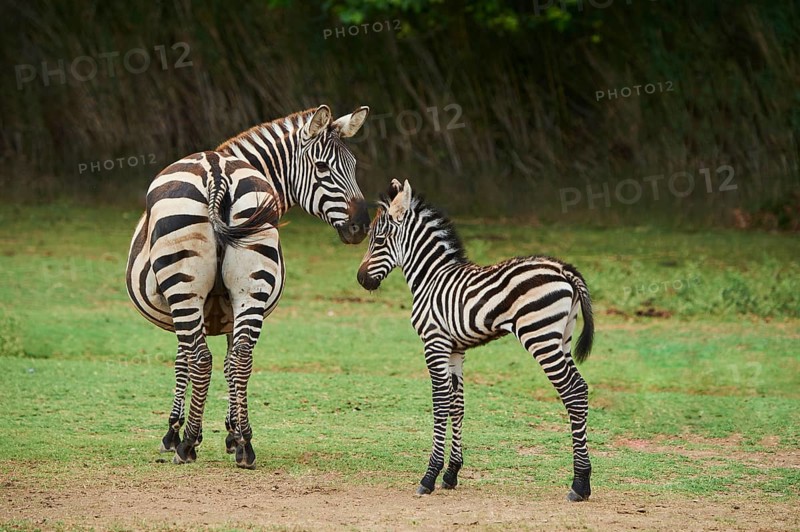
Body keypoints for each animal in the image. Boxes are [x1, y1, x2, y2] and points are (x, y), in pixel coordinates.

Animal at [126, 105, 370, 468]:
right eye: (323, 167)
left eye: (352, 166)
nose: (362, 227)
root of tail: (216, 171)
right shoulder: (225, 310)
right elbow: (228, 362)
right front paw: (232, 433)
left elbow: (184, 361)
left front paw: (175, 433)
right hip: (250, 286)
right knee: (241, 357)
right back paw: (246, 447)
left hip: (186, 288)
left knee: (202, 359)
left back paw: (188, 446)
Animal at [357, 179, 595, 501]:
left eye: (379, 240)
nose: (361, 280)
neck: (431, 279)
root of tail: (563, 269)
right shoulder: (456, 349)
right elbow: (457, 404)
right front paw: (451, 473)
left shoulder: (434, 343)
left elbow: (440, 403)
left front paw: (429, 476)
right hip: (562, 338)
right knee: (580, 389)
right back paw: (583, 481)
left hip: (540, 336)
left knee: (572, 392)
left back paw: (579, 484)